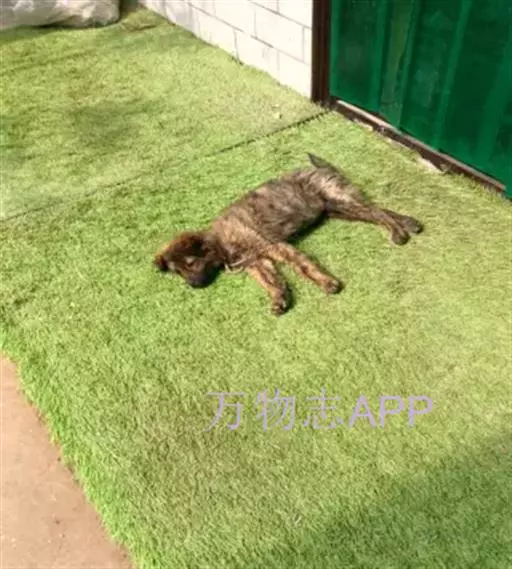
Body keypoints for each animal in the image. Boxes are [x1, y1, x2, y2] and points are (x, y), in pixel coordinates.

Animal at [154, 153, 422, 315]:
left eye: (191, 263)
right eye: (179, 273)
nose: (193, 286)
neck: (222, 242)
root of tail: (315, 168)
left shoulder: (274, 246)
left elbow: (304, 266)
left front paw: (328, 283)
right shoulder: (257, 261)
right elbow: (270, 281)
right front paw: (279, 299)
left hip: (338, 200)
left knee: (377, 213)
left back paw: (398, 233)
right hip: (337, 208)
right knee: (377, 209)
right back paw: (411, 224)